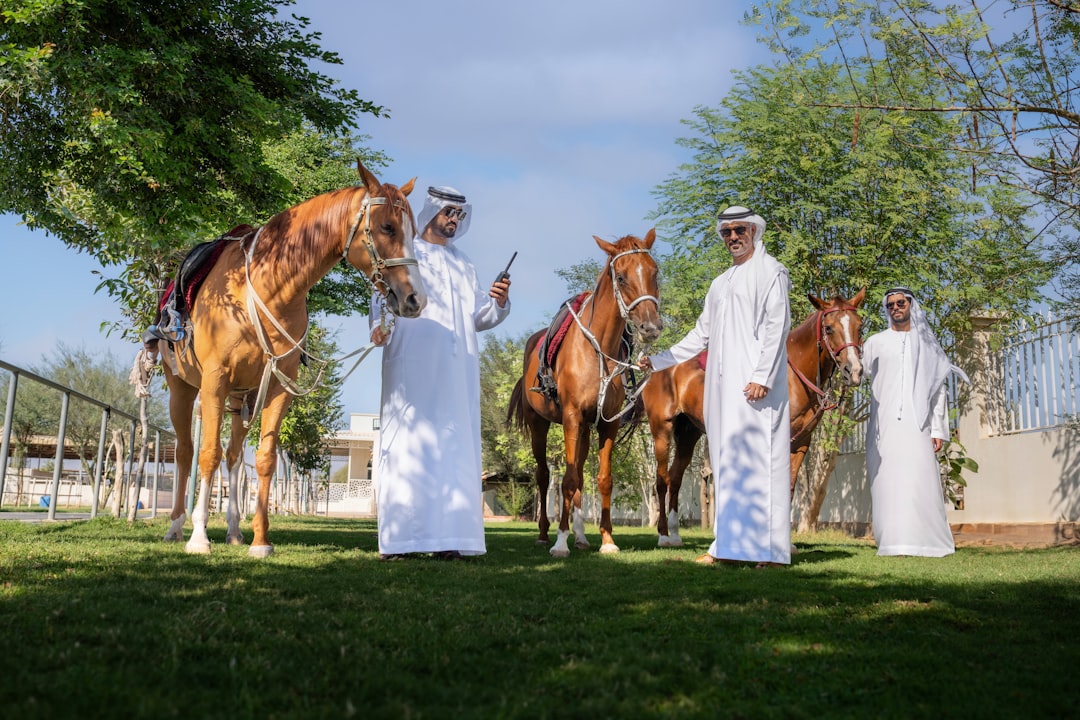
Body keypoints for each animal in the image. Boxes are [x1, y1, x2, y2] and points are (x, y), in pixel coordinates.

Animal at [156, 161, 426, 558]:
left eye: (414, 231)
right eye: (387, 227)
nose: (415, 299)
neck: (267, 287)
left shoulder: (278, 388)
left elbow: (265, 459)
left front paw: (260, 541)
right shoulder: (214, 380)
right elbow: (207, 454)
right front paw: (199, 538)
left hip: (241, 397)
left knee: (234, 456)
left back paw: (234, 531)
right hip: (183, 388)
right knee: (186, 452)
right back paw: (177, 526)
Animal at [507, 231, 662, 557]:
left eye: (654, 272)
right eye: (621, 276)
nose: (651, 327)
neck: (597, 351)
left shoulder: (606, 423)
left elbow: (601, 480)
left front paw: (607, 539)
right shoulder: (571, 417)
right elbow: (566, 480)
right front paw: (560, 542)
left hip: (585, 430)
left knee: (578, 472)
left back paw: (579, 535)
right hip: (540, 425)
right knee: (544, 476)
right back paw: (545, 534)